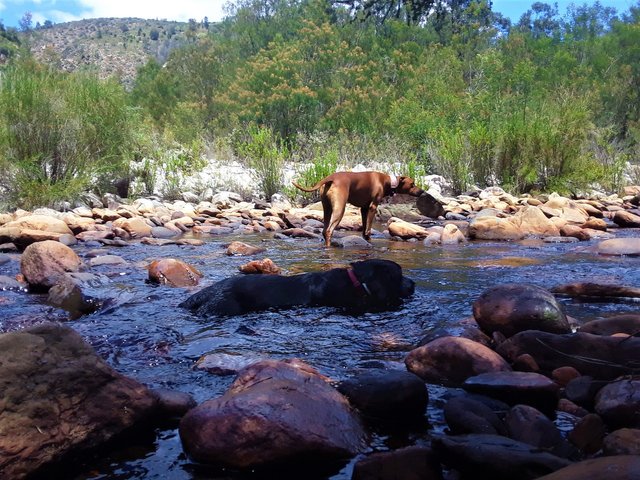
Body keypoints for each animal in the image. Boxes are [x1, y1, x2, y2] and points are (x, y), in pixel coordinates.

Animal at [292, 172, 422, 246]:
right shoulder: (372, 207)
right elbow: (368, 230)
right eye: (412, 184)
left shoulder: (364, 209)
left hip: (327, 209)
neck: (387, 181)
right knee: (329, 231)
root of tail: (330, 178)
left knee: (324, 230)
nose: (422, 192)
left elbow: (364, 230)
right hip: (340, 209)